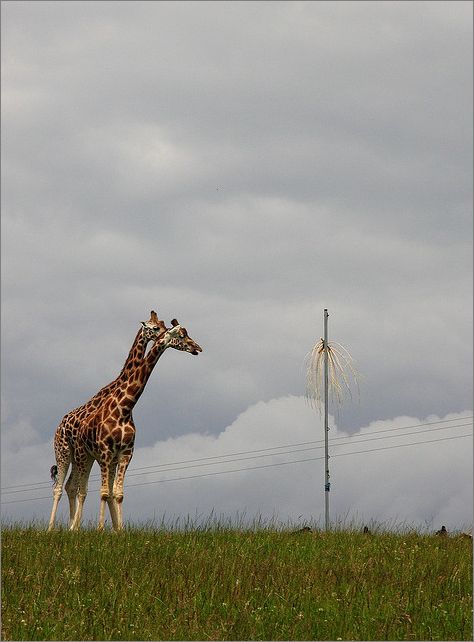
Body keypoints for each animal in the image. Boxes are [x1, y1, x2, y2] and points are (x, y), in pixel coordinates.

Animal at [48, 310, 202, 528]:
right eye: (181, 335)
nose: (197, 348)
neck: (125, 407)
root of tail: (59, 424)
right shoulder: (105, 453)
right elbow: (104, 493)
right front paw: (101, 529)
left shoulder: (125, 454)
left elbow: (117, 493)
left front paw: (118, 530)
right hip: (66, 452)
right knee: (66, 488)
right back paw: (56, 528)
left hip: (85, 457)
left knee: (74, 487)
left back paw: (72, 526)